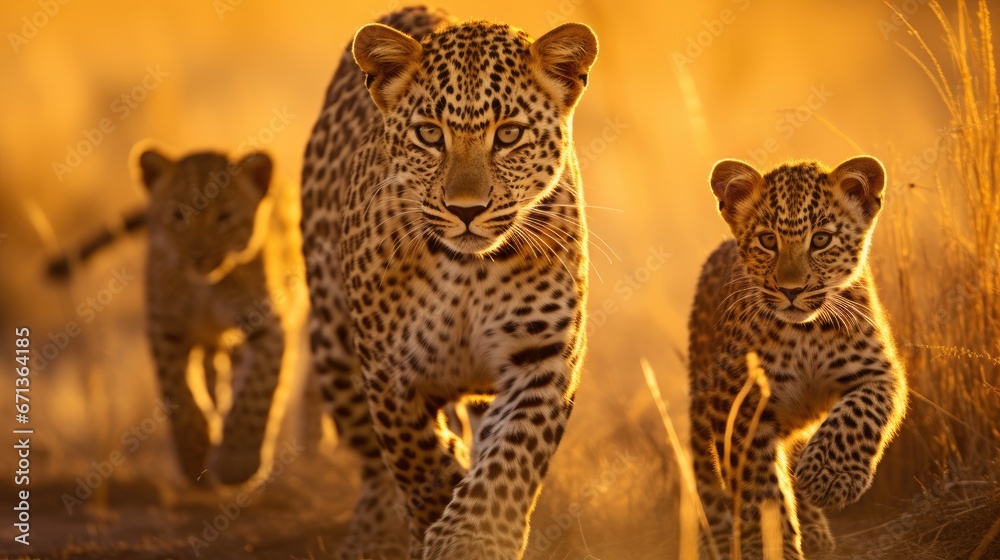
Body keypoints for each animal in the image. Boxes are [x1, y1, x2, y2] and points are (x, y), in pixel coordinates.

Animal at [299, 6, 598, 559]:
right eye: (430, 134)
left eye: (509, 135)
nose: (466, 210)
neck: (468, 270)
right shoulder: (388, 370)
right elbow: (415, 457)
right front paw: (439, 500)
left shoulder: (543, 356)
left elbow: (512, 456)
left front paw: (472, 536)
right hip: (332, 343)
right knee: (372, 462)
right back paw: (373, 530)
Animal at [687, 156, 908, 559]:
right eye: (767, 241)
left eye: (821, 240)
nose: (791, 290)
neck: (806, 333)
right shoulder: (736, 402)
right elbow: (758, 483)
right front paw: (769, 546)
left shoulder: (880, 373)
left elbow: (859, 413)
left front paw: (831, 479)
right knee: (708, 482)